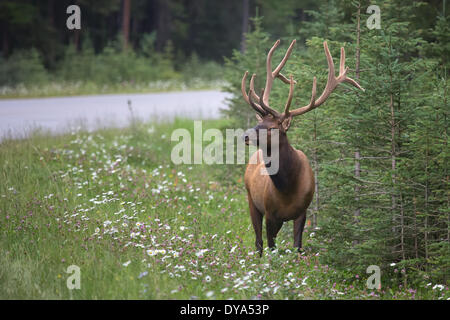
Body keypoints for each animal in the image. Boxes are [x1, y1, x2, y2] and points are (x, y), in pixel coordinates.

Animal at [241, 39, 364, 255]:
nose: (246, 136)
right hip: (251, 201)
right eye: (258, 123)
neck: (287, 187)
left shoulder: (302, 212)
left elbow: (297, 247)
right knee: (258, 243)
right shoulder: (270, 212)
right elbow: (271, 247)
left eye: (272, 128)